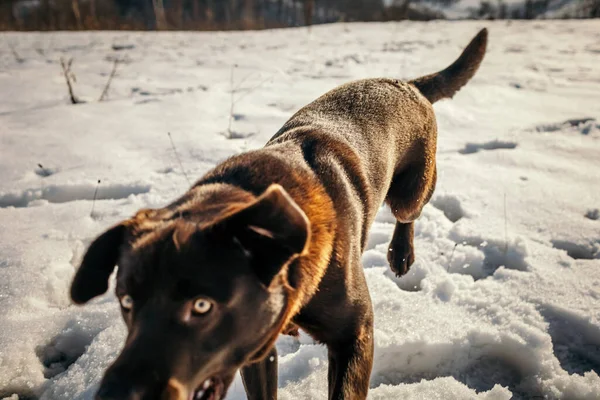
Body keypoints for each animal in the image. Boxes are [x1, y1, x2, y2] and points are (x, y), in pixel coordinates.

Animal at [70, 28, 488, 400]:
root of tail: (407, 82)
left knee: (410, 209)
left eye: (202, 306)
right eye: (126, 302)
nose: (115, 395)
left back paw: (401, 254)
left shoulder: (356, 335)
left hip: (411, 191)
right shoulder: (256, 348)